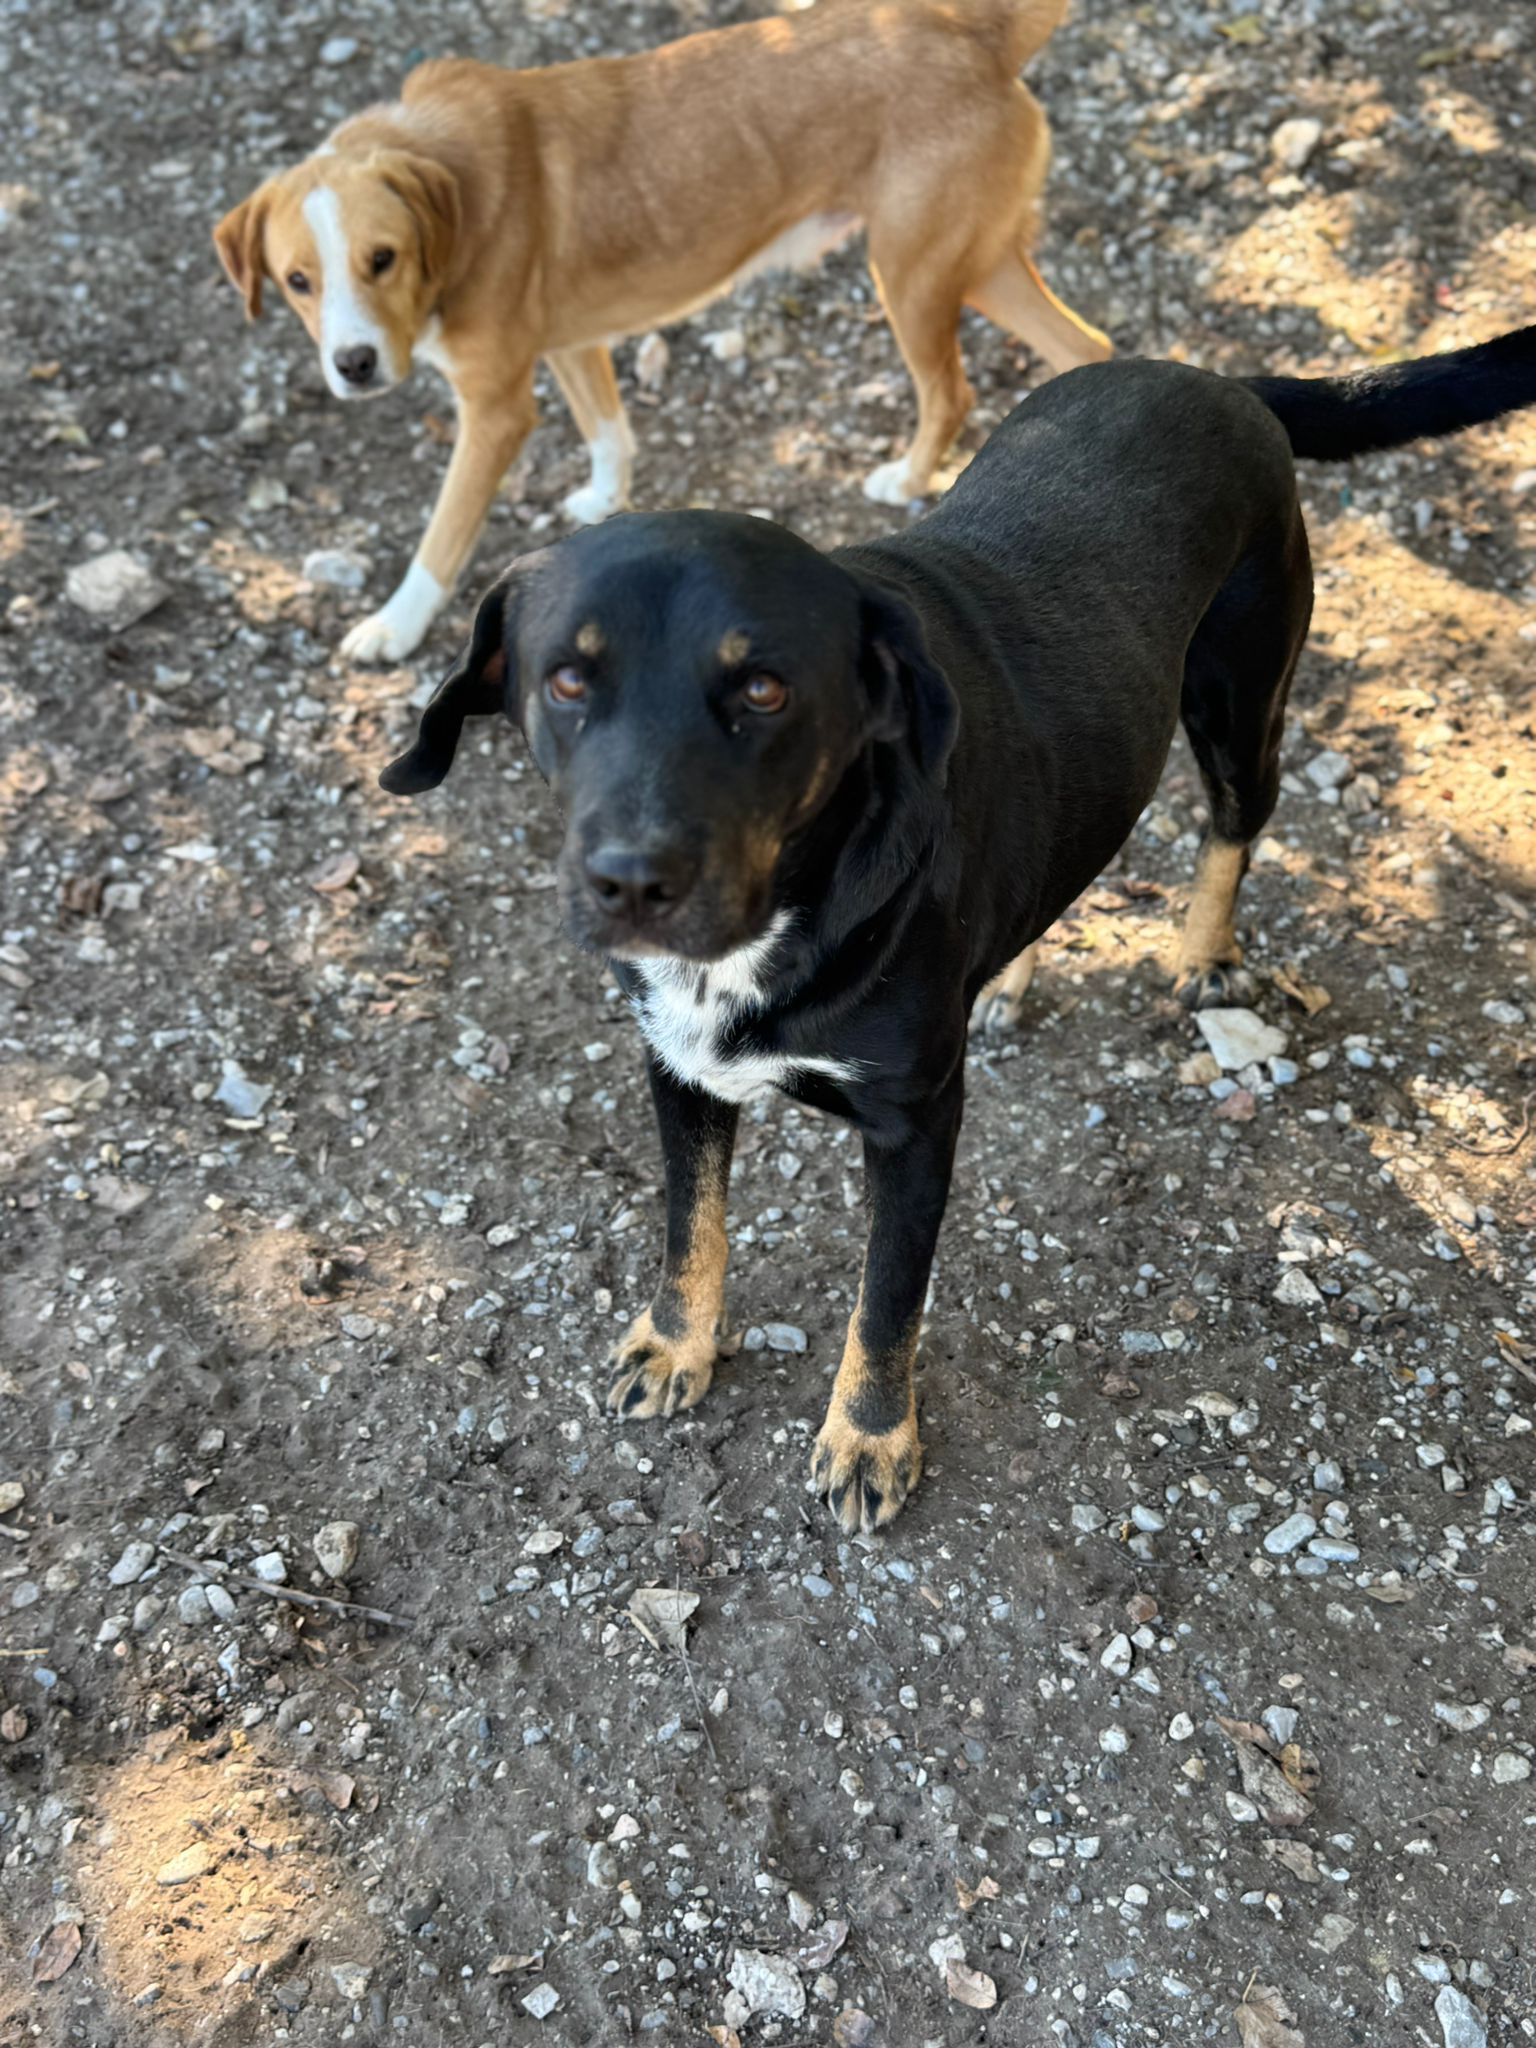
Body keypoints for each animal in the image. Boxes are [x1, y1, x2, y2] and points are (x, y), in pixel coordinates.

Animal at [212, 0, 1109, 665]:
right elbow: (609, 430)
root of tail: (973, 33)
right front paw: (606, 501)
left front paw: (394, 627)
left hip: (913, 276)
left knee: (949, 390)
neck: (449, 188)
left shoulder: (495, 408)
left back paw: (911, 477)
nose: (354, 364)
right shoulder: (573, 341)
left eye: (382, 258)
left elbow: (442, 533)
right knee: (1088, 349)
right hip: (977, 265)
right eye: (297, 281)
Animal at [379, 326, 1536, 1534]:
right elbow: (690, 1223)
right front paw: (677, 1342)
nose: (633, 882)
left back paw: (1203, 954)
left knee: (1234, 824)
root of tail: (1215, 378)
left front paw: (871, 1437)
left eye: (765, 689)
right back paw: (1013, 973)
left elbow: (886, 1298)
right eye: (565, 678)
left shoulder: (915, 1121)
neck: (789, 907)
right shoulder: (679, 1070)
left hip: (1241, 695)